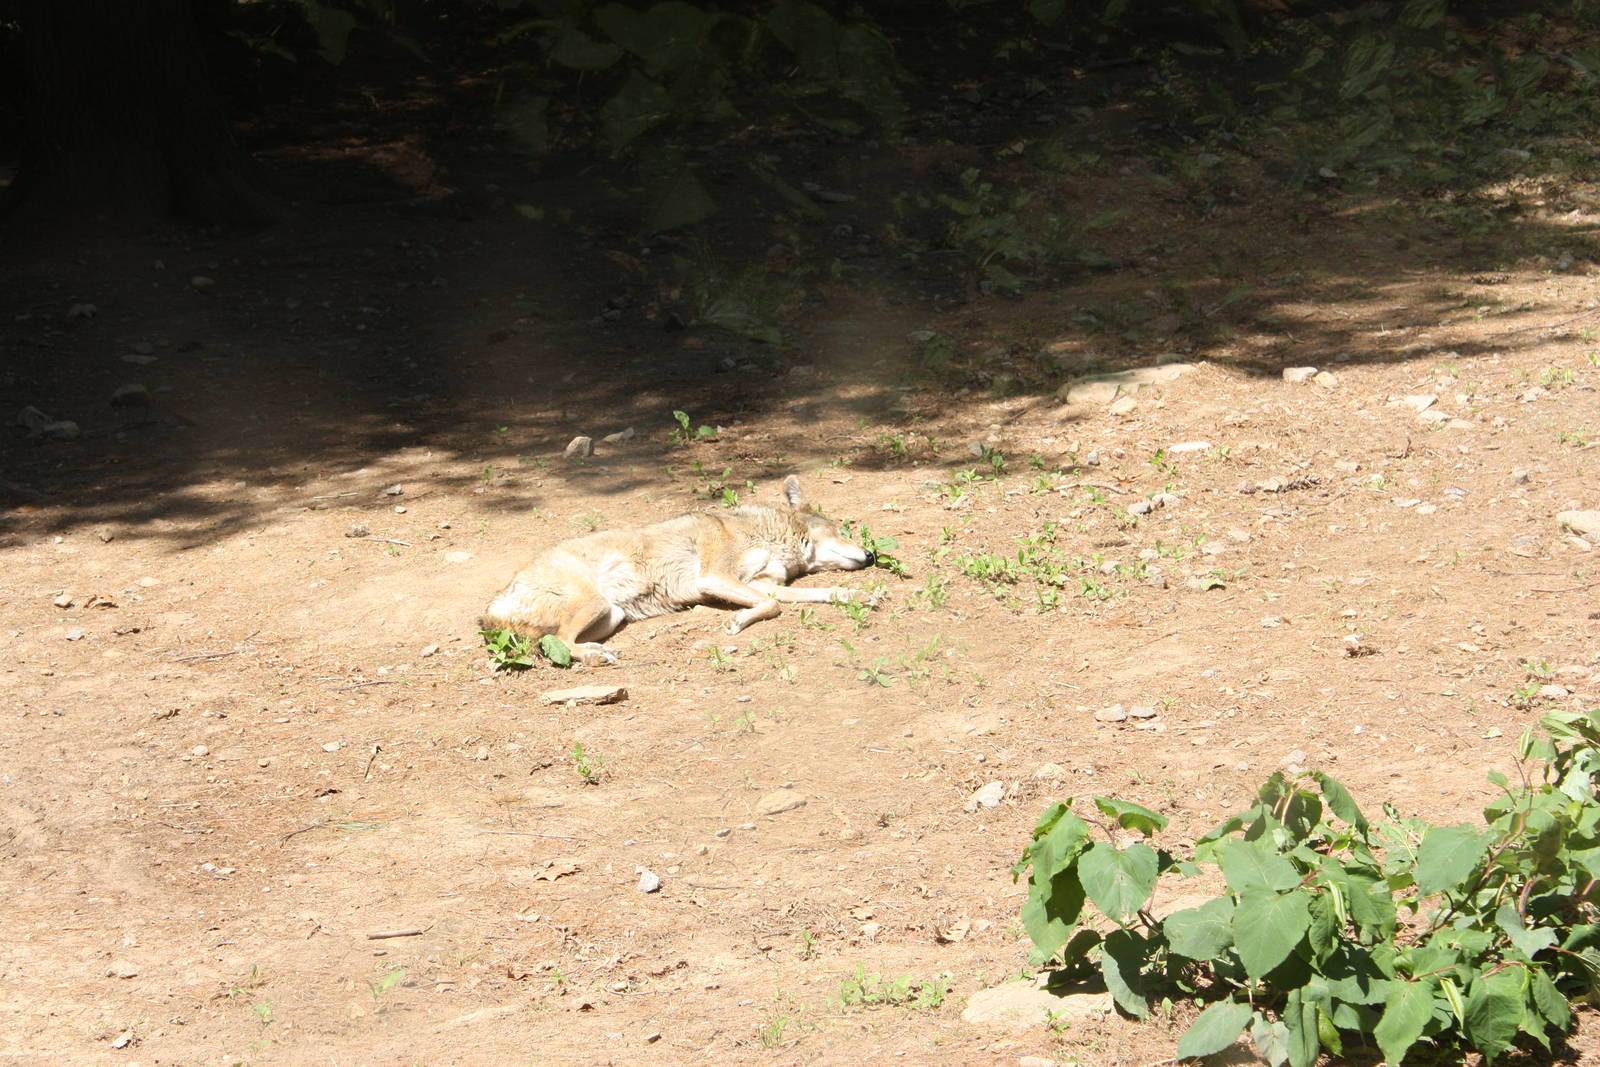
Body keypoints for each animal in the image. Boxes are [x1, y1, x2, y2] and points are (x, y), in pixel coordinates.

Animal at [480, 476, 876, 666]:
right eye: (840, 530)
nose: (871, 554)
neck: (764, 534)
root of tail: (496, 603)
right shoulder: (715, 578)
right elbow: (771, 606)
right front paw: (737, 621)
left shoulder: (765, 584)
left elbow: (813, 595)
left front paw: (858, 594)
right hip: (596, 604)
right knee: (558, 642)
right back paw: (595, 656)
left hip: (611, 615)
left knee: (559, 640)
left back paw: (596, 650)